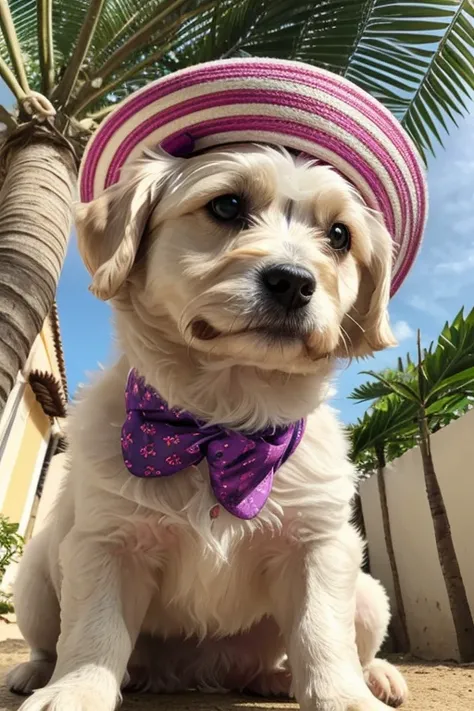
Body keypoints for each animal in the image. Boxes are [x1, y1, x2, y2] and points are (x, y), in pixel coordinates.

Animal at [7, 146, 408, 711]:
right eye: (227, 205)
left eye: (338, 235)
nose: (294, 282)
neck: (221, 426)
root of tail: (200, 673)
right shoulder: (106, 542)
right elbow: (94, 632)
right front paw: (76, 691)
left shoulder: (320, 546)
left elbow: (323, 633)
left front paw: (344, 697)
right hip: (37, 577)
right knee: (50, 640)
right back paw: (35, 672)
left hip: (369, 594)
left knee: (347, 645)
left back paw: (342, 676)